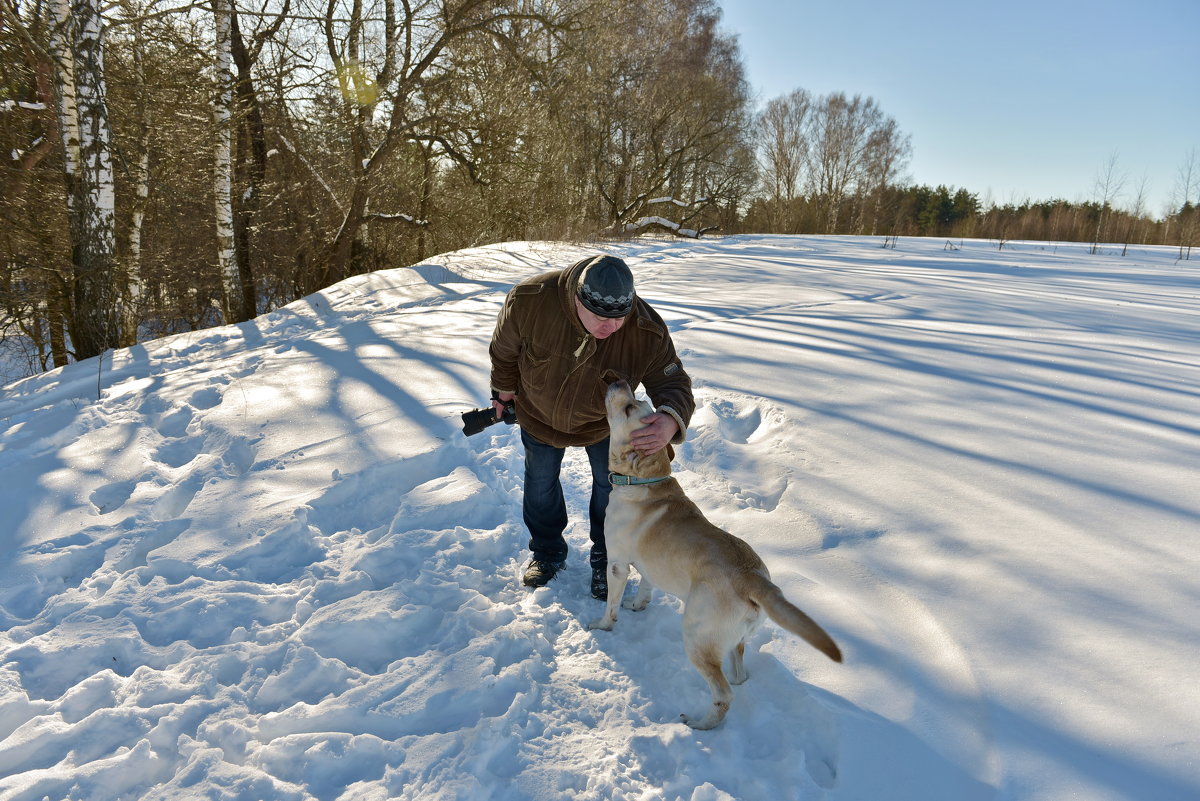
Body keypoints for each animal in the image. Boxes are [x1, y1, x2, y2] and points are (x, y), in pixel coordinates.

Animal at [590, 378, 844, 729]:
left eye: (630, 407)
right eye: (637, 401)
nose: (619, 380)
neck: (644, 479)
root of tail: (754, 577)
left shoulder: (616, 563)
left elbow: (611, 605)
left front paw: (602, 625)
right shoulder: (648, 564)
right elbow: (646, 586)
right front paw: (638, 604)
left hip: (697, 637)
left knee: (725, 693)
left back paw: (700, 724)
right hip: (735, 637)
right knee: (739, 671)